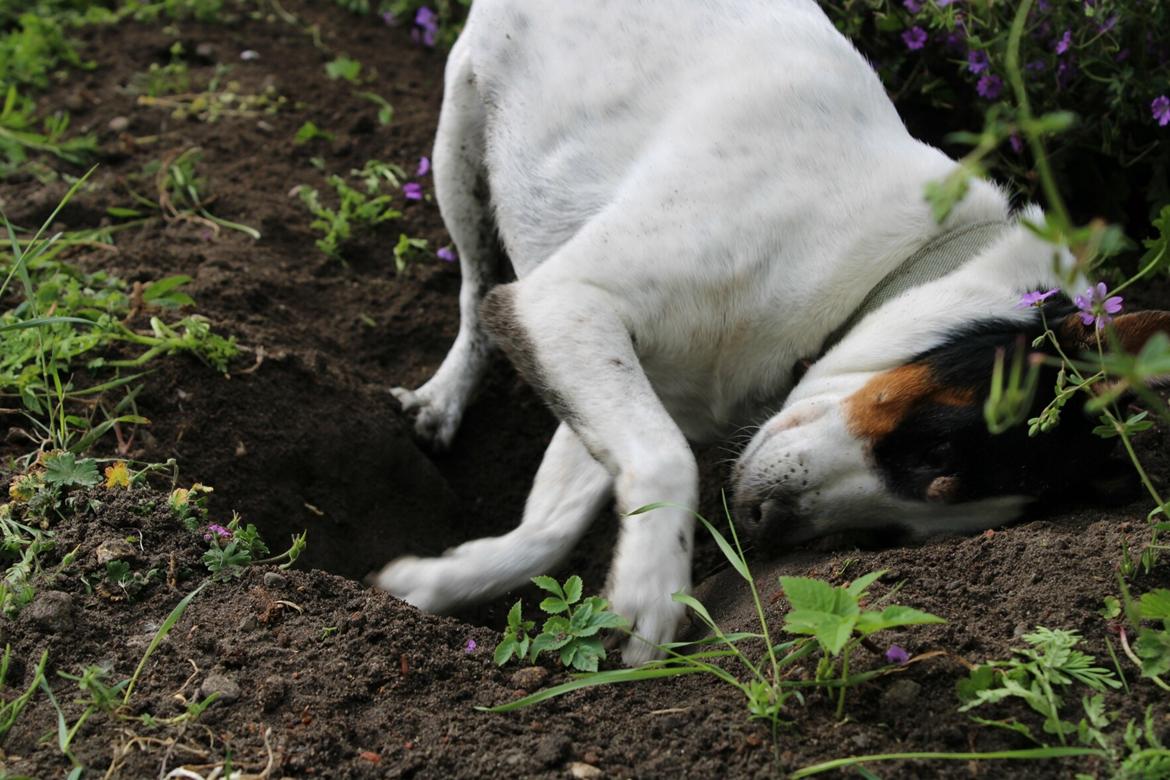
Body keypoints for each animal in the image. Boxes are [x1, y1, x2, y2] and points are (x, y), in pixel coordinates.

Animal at [379, 0, 1165, 664]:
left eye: (891, 535)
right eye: (934, 448)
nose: (761, 521)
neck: (888, 259)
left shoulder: (617, 372)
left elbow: (556, 523)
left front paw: (434, 583)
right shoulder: (561, 302)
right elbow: (668, 461)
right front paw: (649, 595)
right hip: (460, 138)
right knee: (473, 282)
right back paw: (443, 397)